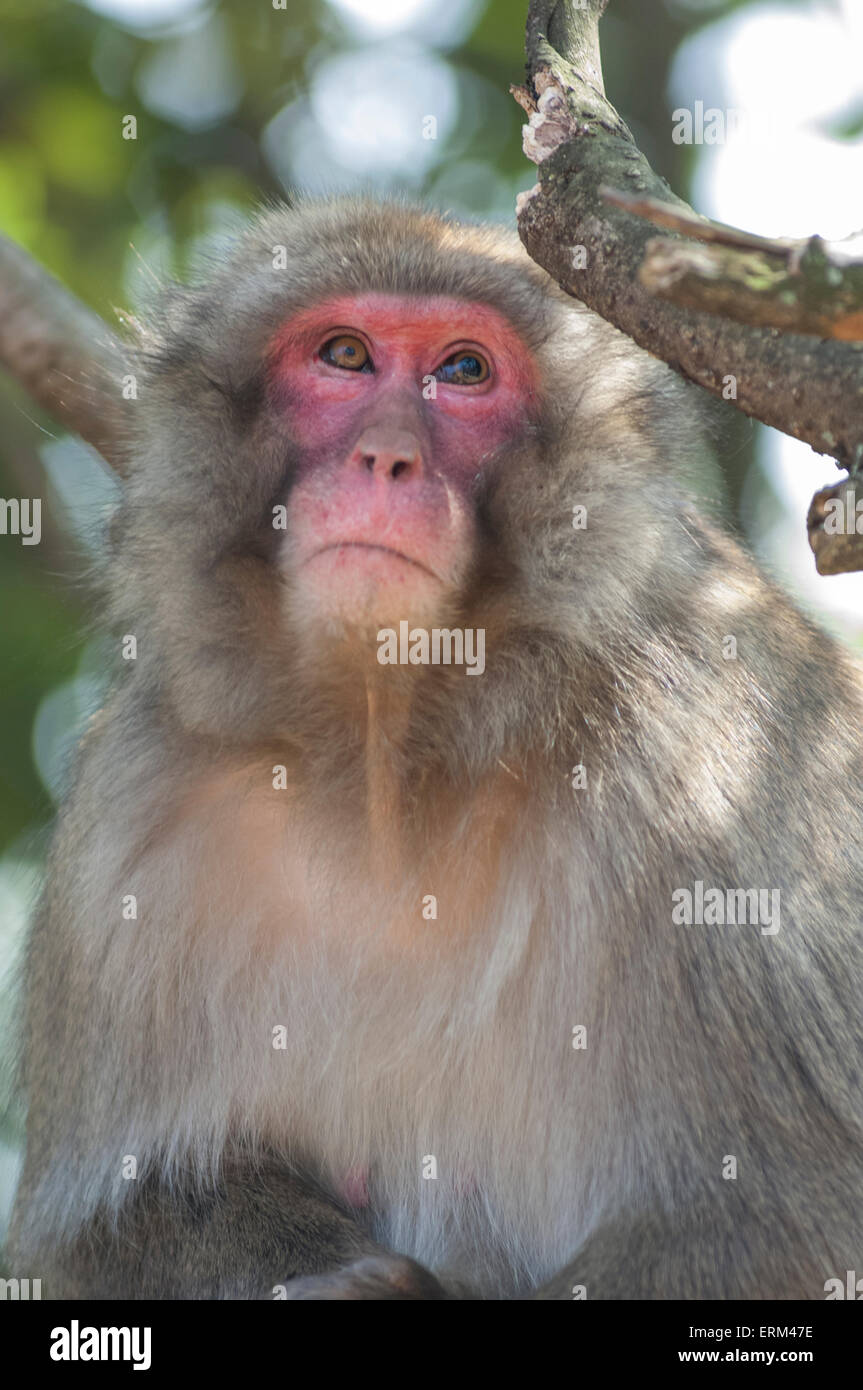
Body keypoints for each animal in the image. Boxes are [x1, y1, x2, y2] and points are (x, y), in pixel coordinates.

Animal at [7, 196, 863, 1301]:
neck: (388, 766)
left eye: (463, 370)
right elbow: (98, 1230)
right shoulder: (133, 817)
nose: (386, 459)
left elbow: (787, 1214)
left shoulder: (706, 778)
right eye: (343, 355)